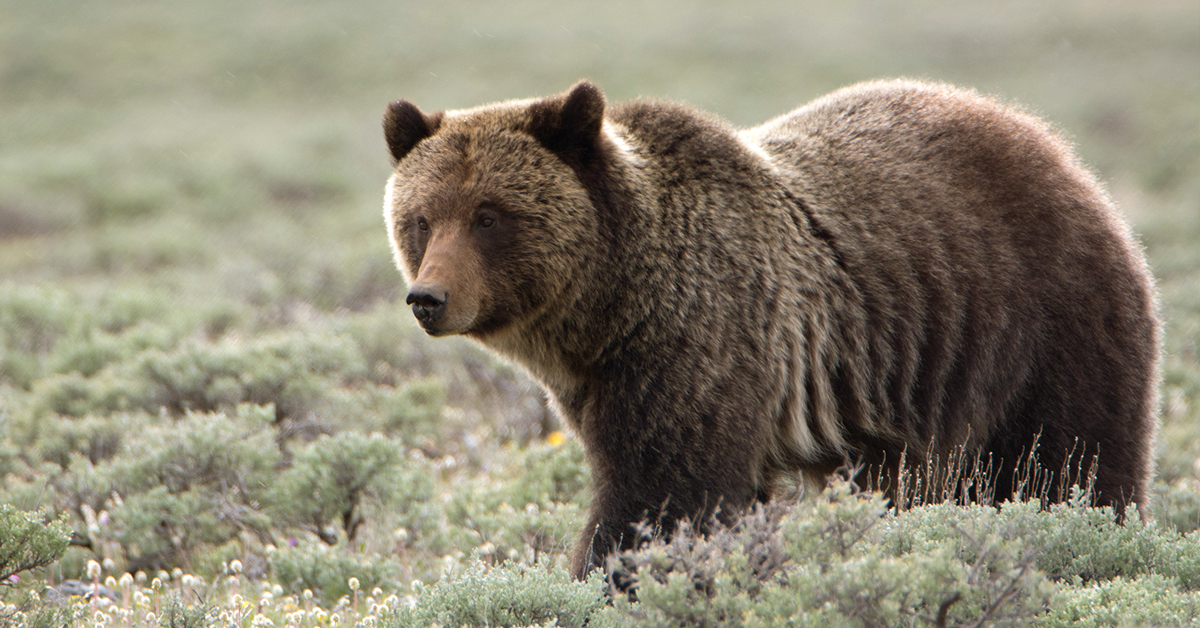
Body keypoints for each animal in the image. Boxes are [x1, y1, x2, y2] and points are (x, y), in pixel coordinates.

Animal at [379, 78, 1156, 581]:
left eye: (489, 215)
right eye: (421, 218)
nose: (428, 297)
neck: (609, 308)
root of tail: (1058, 151)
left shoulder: (702, 344)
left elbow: (661, 498)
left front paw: (610, 577)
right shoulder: (602, 382)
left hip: (1045, 318)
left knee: (1071, 461)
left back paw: (1091, 540)